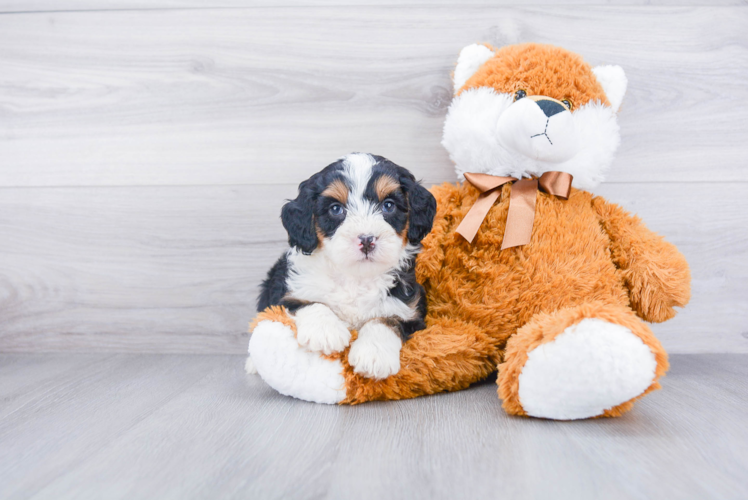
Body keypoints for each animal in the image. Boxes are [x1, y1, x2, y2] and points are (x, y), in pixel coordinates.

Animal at [256, 152, 436, 378]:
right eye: (335, 209)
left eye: (388, 205)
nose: (367, 239)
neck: (356, 277)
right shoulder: (283, 295)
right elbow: (309, 303)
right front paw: (325, 332)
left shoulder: (412, 308)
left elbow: (387, 319)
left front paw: (374, 355)